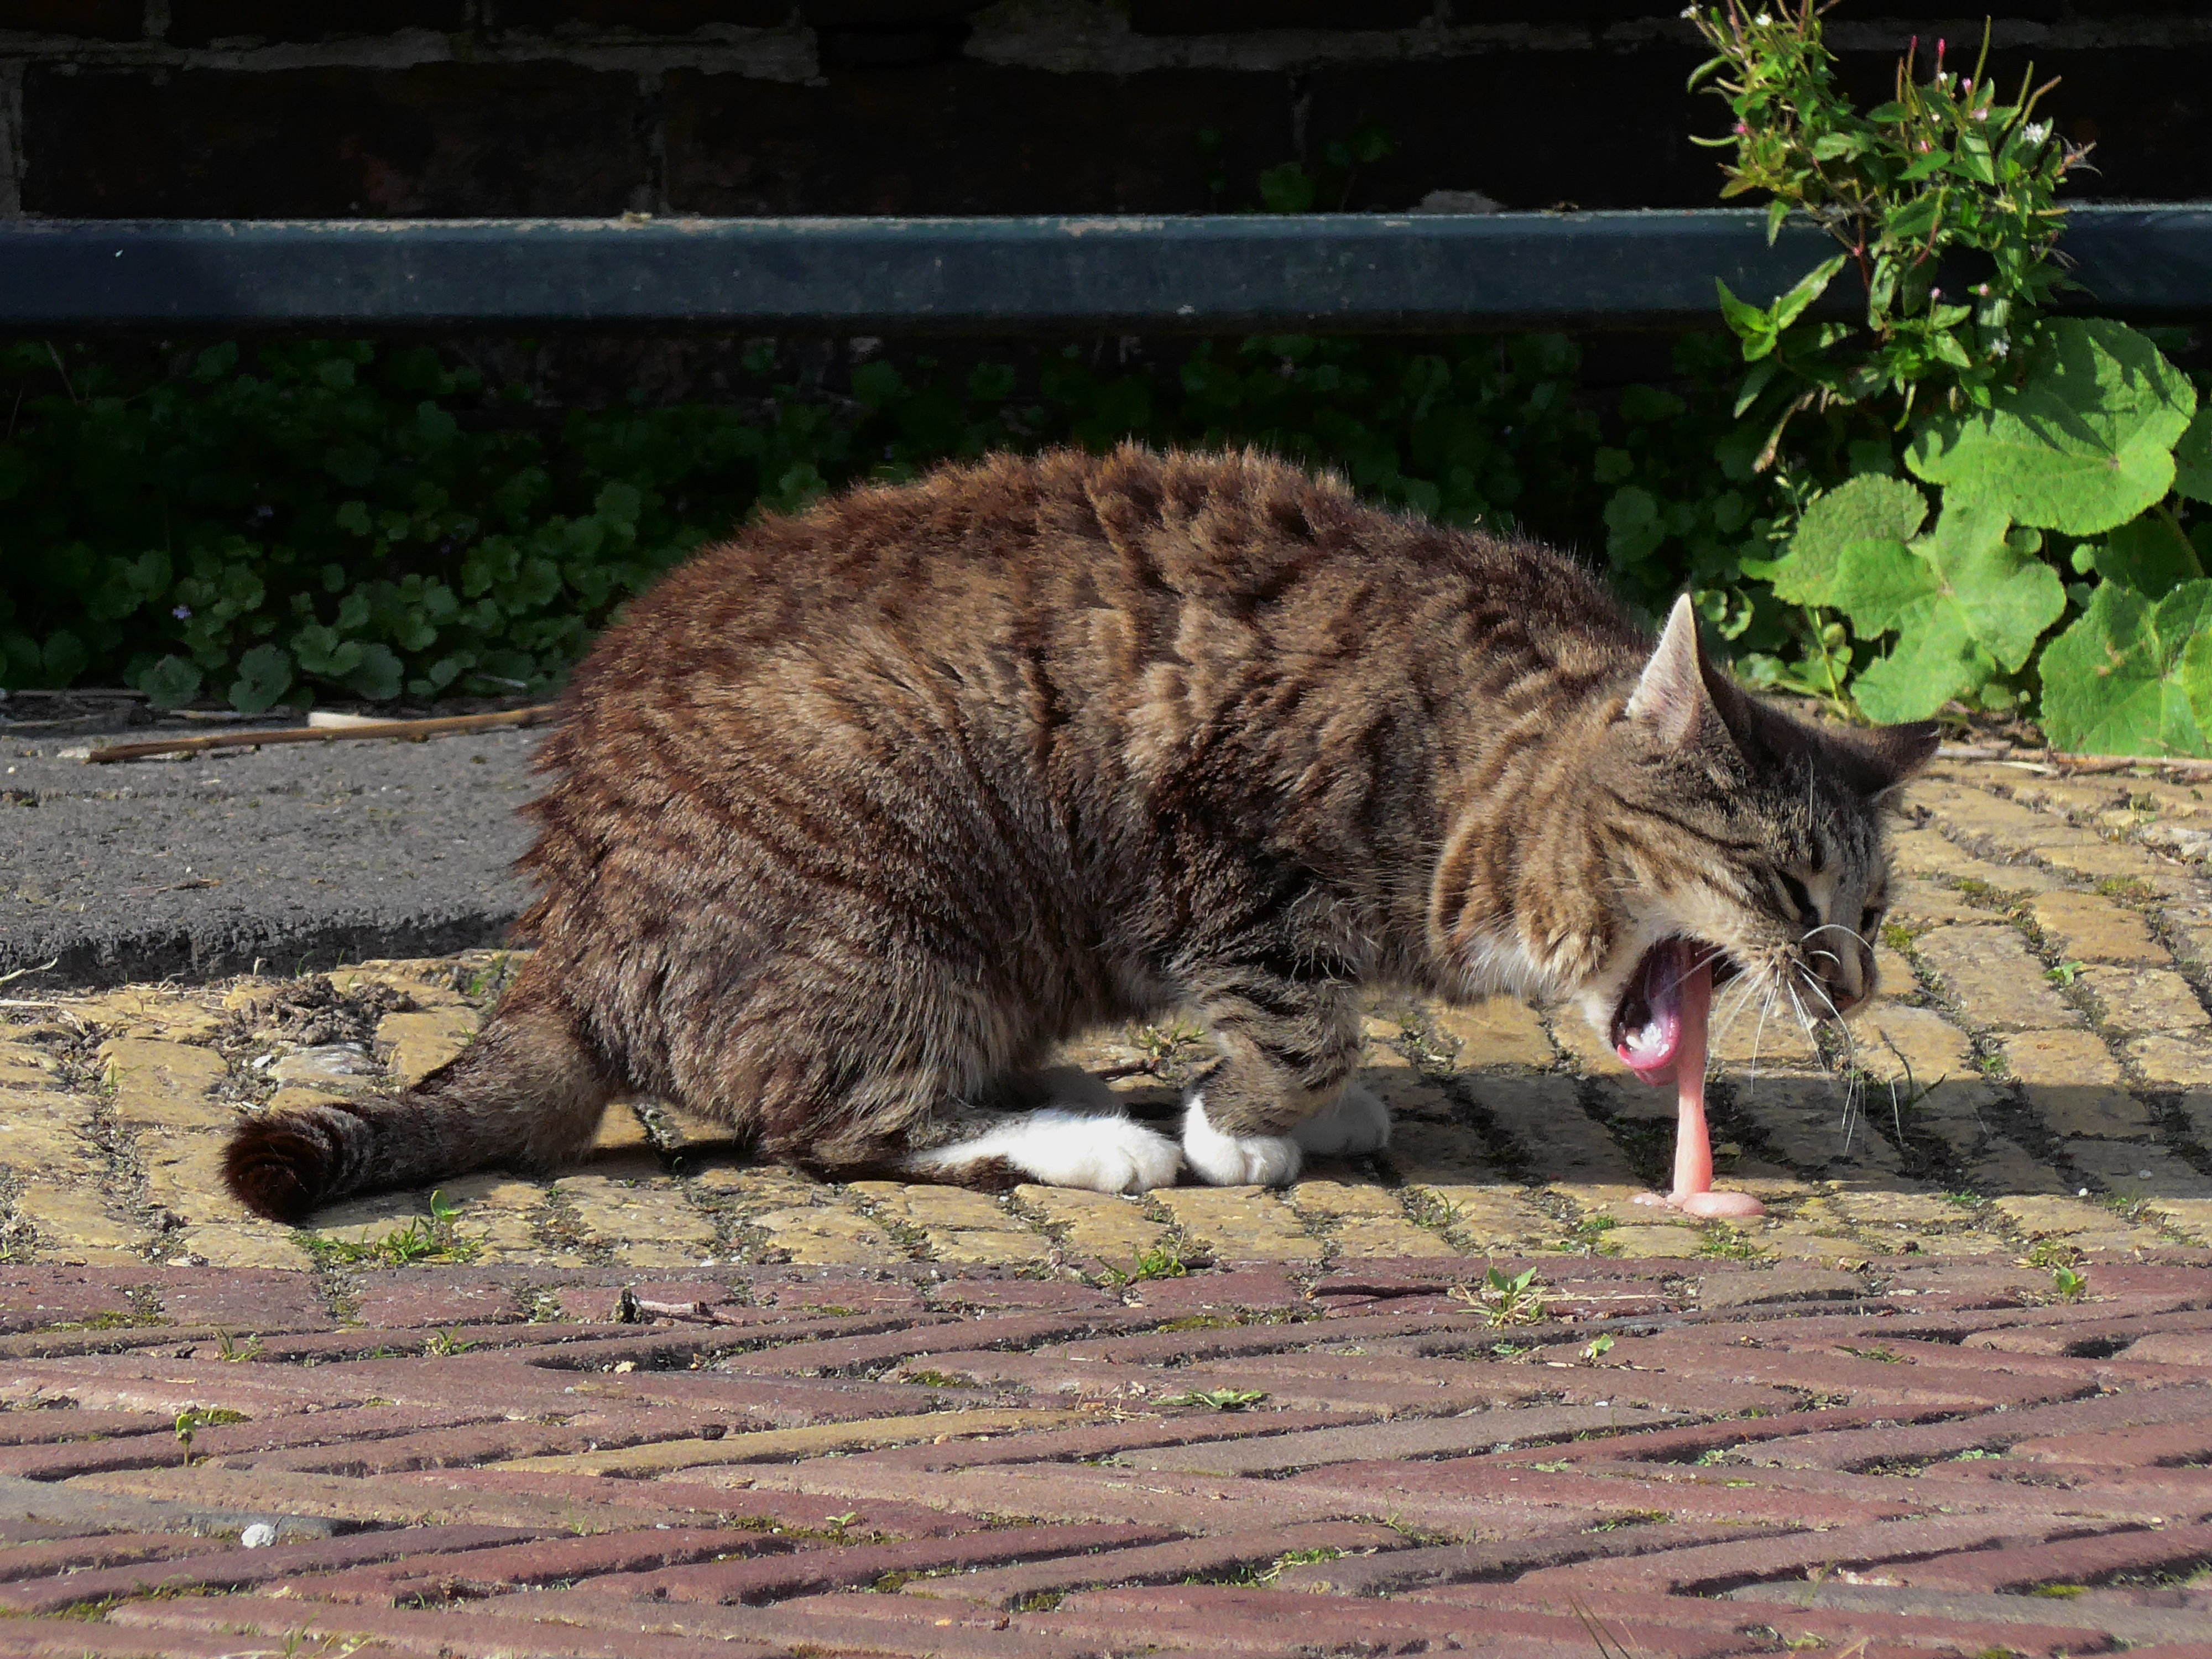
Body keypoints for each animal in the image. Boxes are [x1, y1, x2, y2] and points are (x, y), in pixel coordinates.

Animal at [229, 449, 1938, 1230]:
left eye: (1870, 909)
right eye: (1789, 883)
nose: (1850, 985)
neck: (1475, 771)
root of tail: (564, 937)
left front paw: (1287, 1109)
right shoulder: (1226, 840)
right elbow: (1298, 1017)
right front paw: (1245, 1129)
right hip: (891, 907)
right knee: (833, 1121)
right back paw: (1095, 1133)